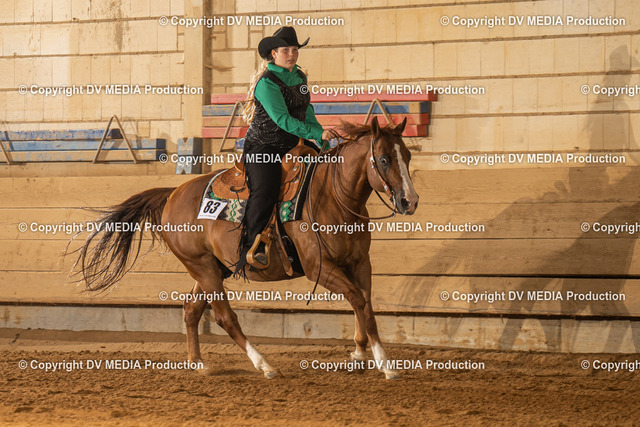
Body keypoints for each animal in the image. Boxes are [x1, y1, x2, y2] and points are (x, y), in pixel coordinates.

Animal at [72, 116, 419, 379]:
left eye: (408, 156)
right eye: (384, 159)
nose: (410, 201)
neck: (332, 196)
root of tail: (172, 194)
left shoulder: (360, 263)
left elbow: (365, 304)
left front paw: (360, 355)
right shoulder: (320, 269)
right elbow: (359, 302)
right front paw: (384, 364)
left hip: (212, 268)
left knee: (191, 309)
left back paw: (198, 363)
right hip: (202, 267)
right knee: (225, 317)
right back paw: (264, 364)